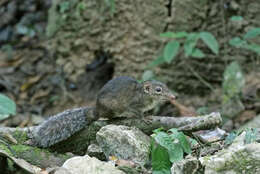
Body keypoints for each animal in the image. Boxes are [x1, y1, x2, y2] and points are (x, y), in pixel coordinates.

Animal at [30, 76, 177, 147]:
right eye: (158, 90)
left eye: (166, 86)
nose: (173, 97)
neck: (143, 94)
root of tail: (96, 110)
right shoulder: (133, 105)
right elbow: (137, 113)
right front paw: (144, 118)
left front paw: (148, 114)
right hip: (111, 108)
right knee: (107, 117)